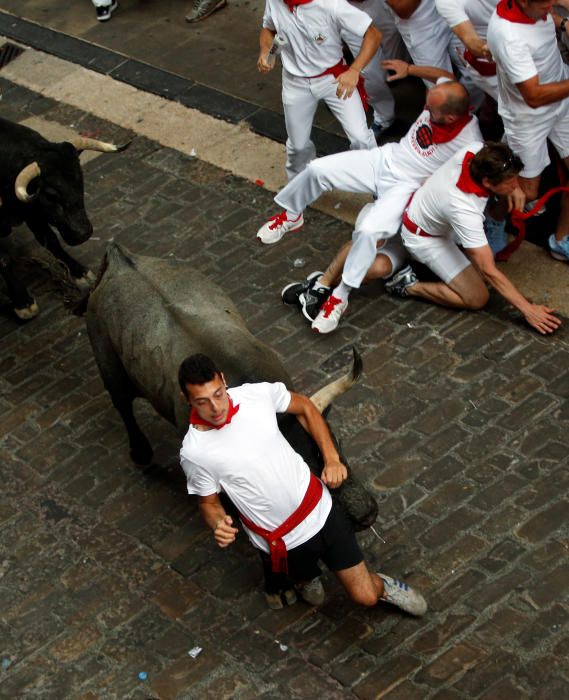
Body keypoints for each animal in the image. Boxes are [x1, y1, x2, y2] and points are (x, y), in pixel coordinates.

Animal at [85, 243, 378, 532]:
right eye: (300, 468)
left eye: (331, 440)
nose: (365, 514)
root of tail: (118, 256)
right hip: (107, 361)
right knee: (123, 406)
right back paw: (141, 452)